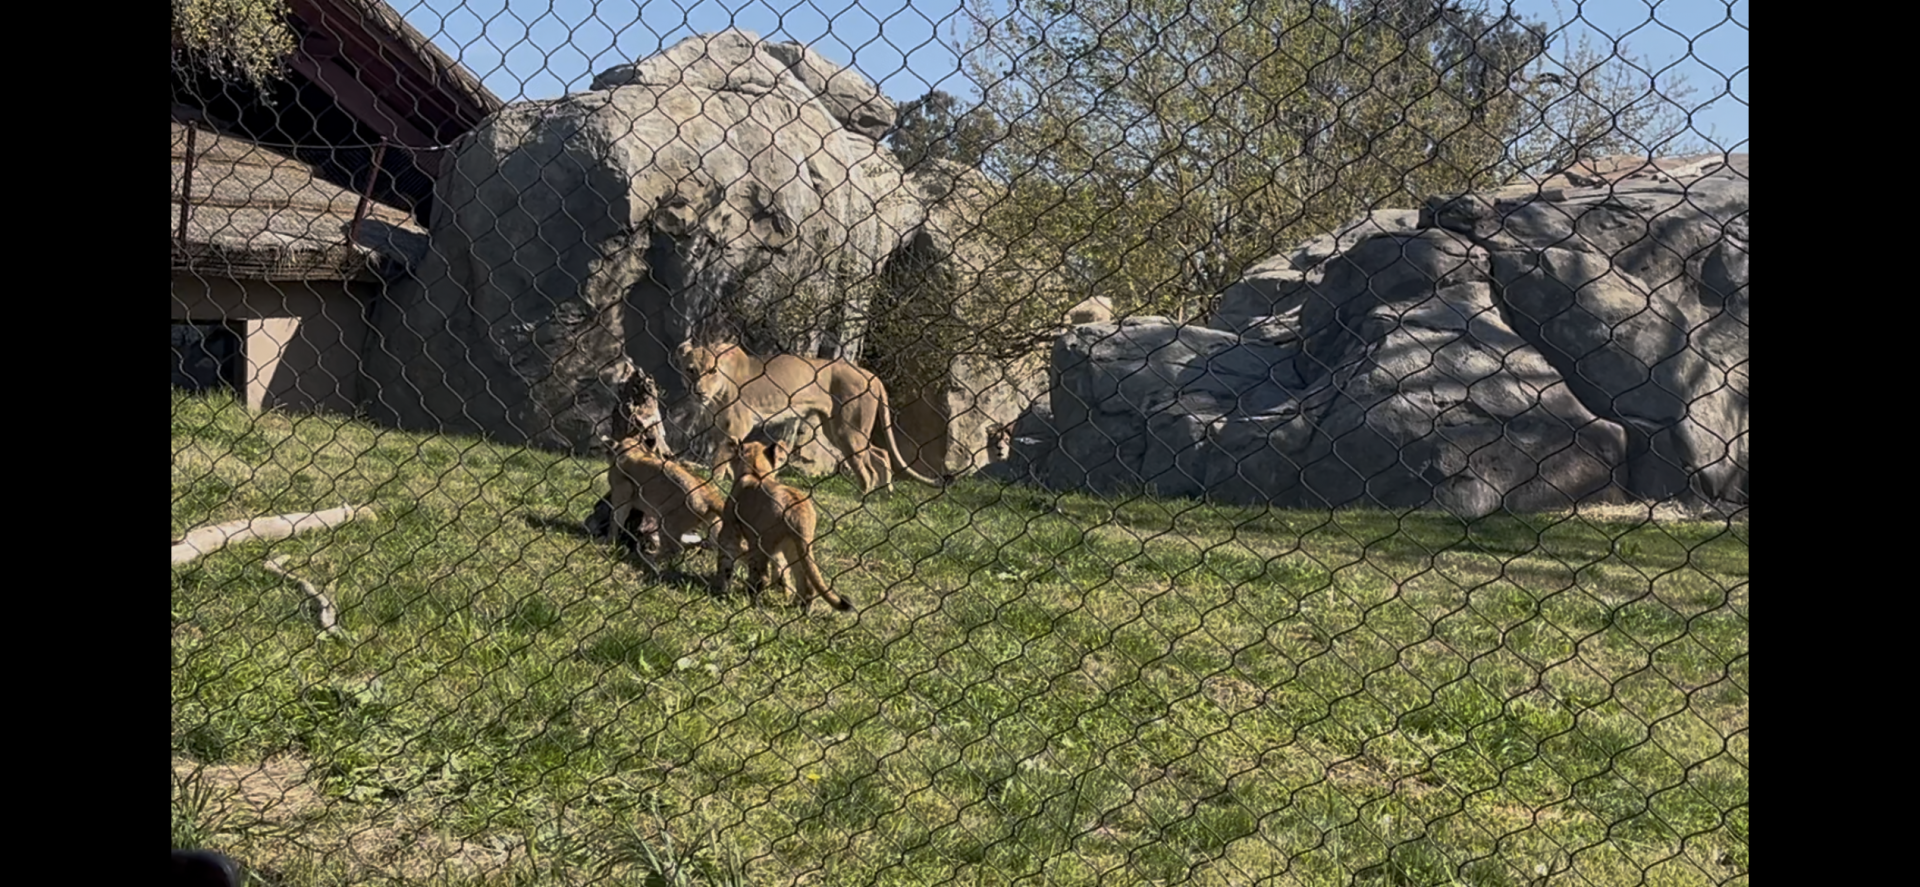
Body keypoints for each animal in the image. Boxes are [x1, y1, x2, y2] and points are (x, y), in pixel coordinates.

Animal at [673, 341, 943, 494]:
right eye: (690, 370)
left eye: (711, 371)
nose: (698, 391)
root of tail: (870, 375)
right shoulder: (721, 428)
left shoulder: (736, 427)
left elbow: (719, 460)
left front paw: (714, 482)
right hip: (835, 429)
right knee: (881, 453)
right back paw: (886, 493)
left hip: (848, 430)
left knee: (868, 469)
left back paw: (863, 498)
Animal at [712, 439, 853, 612]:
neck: (755, 470)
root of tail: (797, 509)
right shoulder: (778, 546)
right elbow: (781, 568)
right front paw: (783, 591)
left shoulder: (730, 529)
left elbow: (725, 561)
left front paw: (720, 589)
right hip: (794, 545)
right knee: (804, 579)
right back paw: (800, 607)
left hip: (761, 542)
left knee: (761, 576)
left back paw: (750, 599)